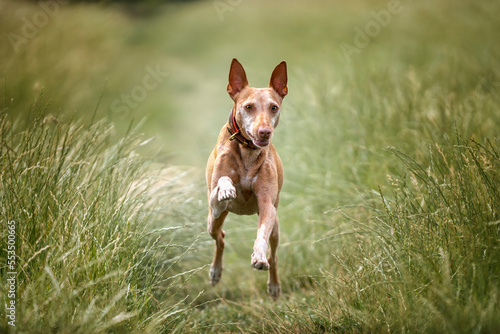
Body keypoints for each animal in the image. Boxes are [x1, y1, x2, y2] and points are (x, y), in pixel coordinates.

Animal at [205, 58, 288, 300]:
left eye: (274, 107)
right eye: (248, 106)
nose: (264, 132)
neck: (248, 152)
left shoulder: (267, 206)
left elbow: (261, 235)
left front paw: (258, 256)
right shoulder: (214, 203)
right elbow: (222, 183)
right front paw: (226, 188)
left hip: (276, 227)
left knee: (274, 255)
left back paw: (274, 286)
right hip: (212, 221)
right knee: (220, 238)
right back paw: (215, 272)